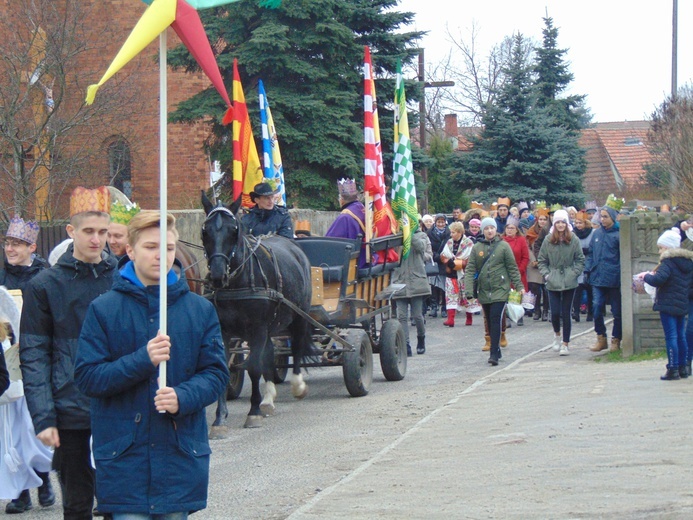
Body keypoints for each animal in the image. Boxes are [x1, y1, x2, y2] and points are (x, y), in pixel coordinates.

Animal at [201, 193, 312, 428]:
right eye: (205, 231)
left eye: (233, 230)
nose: (217, 275)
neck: (237, 283)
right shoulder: (223, 331)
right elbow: (225, 368)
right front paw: (219, 419)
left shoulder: (257, 328)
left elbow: (253, 367)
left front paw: (253, 412)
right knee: (269, 355)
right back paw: (268, 398)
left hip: (299, 316)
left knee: (297, 346)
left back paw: (297, 385)